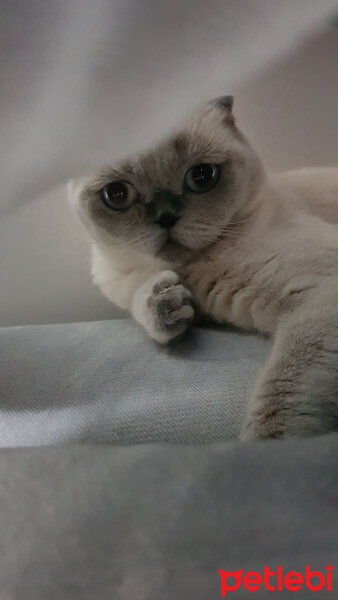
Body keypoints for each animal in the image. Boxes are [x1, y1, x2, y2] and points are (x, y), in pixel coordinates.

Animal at [69, 96, 338, 438]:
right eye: (117, 194)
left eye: (202, 177)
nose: (166, 216)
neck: (190, 269)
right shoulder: (125, 285)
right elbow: (144, 304)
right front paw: (167, 303)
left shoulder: (320, 296)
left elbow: (278, 408)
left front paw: (261, 449)